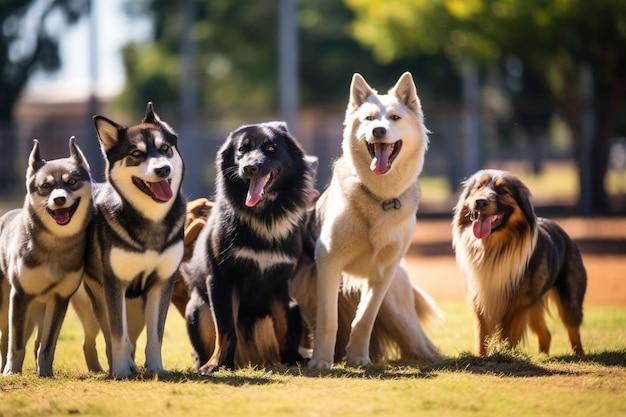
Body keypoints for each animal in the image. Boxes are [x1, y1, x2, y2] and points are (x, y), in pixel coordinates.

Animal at [0, 138, 92, 376]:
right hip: (5, 305)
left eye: (72, 182)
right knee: (4, 339)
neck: (55, 245)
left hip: (40, 309)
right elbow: (16, 344)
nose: (59, 200)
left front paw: (45, 372)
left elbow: (47, 345)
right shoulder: (20, 295)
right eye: (45, 186)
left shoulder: (59, 299)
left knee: (36, 342)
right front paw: (12, 372)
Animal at [80, 101, 184, 376]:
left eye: (165, 148)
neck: (150, 219)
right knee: (106, 336)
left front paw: (157, 369)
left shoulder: (162, 282)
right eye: (136, 154)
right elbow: (117, 336)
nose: (163, 169)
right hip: (96, 301)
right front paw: (119, 372)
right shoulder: (115, 284)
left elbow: (156, 335)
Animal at [182, 120, 314, 370]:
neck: (263, 216)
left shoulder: (279, 283)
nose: (249, 168)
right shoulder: (222, 279)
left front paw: (291, 359)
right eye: (242, 150)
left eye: (271, 148)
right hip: (198, 310)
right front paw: (217, 364)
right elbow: (225, 330)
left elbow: (284, 328)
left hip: (295, 307)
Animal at [306, 73, 434, 368]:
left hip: (399, 312)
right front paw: (321, 362)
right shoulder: (328, 263)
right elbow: (328, 320)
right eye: (369, 118)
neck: (380, 198)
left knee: (421, 343)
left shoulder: (383, 273)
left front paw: (358, 357)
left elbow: (364, 318)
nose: (378, 131)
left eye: (395, 118)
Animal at [450, 168, 584, 354]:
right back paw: (542, 356)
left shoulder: (519, 305)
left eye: (503, 191)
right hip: (535, 305)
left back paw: (578, 353)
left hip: (569, 299)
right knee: (546, 334)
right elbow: (482, 339)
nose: (479, 202)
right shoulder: (481, 302)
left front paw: (505, 355)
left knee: (573, 329)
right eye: (478, 187)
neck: (494, 249)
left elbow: (509, 338)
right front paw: (482, 357)